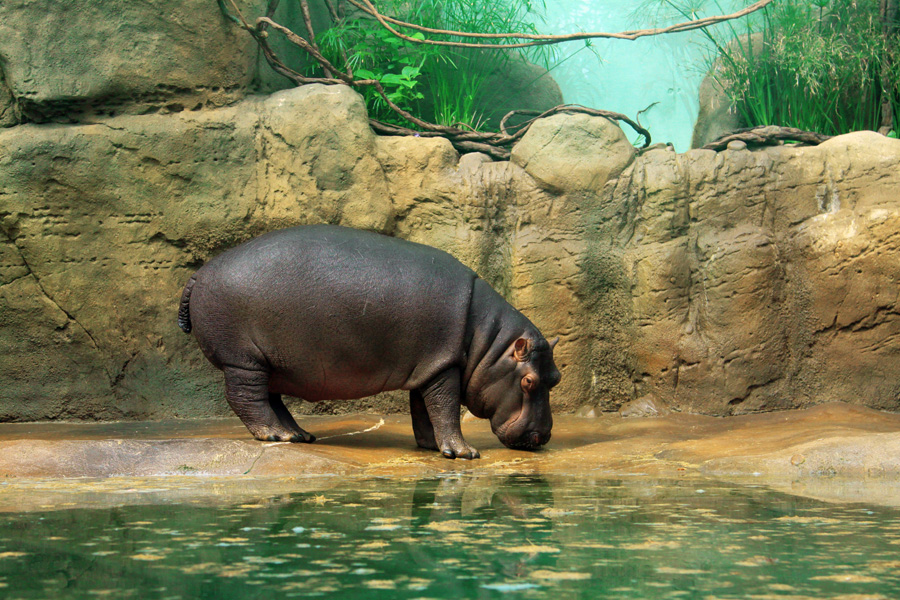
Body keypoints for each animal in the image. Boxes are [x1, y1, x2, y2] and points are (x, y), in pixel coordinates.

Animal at [177, 225, 560, 459]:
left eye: (555, 378)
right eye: (528, 381)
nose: (543, 437)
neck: (489, 342)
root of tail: (198, 274)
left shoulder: (431, 364)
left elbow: (424, 409)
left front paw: (430, 446)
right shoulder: (445, 364)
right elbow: (446, 407)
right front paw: (464, 453)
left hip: (270, 362)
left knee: (272, 399)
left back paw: (299, 434)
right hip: (243, 360)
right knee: (247, 398)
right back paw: (275, 435)